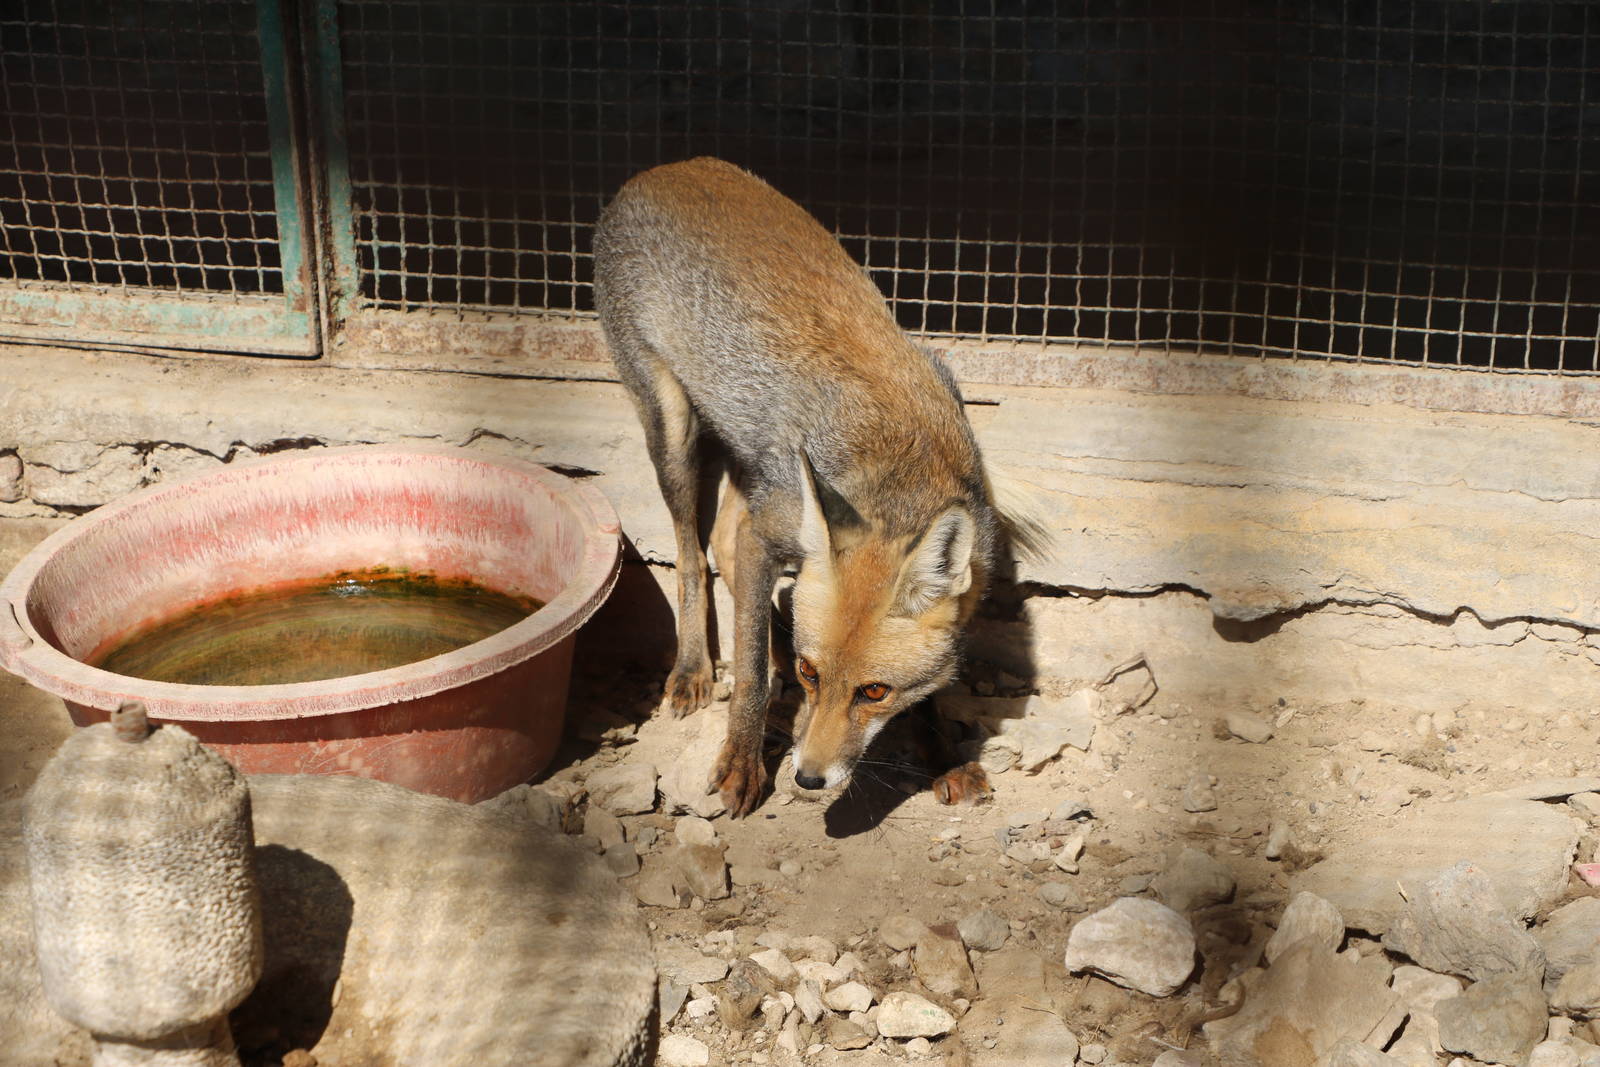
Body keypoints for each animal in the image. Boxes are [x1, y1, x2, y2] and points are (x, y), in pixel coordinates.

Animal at [594, 156, 1025, 818]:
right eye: (810, 674)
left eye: (874, 691)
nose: (809, 779)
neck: (902, 466)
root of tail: (668, 166)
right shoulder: (769, 531)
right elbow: (748, 671)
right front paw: (742, 762)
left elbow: (929, 691)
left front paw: (944, 755)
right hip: (673, 430)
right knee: (693, 554)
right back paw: (694, 667)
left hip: (754, 466)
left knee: (723, 541)